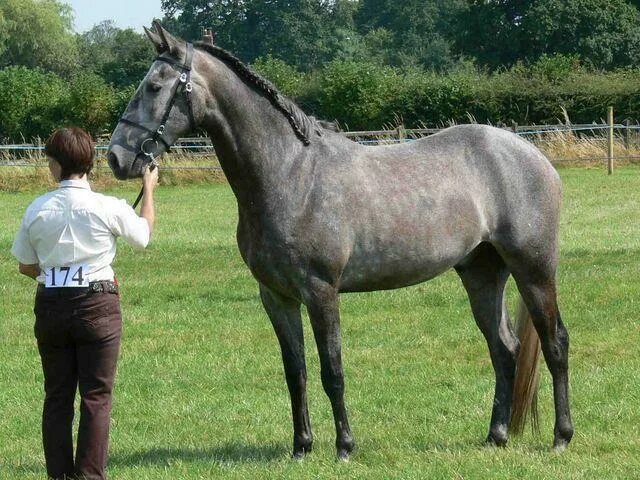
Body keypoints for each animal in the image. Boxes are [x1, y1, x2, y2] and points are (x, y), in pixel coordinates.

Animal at [107, 23, 572, 462]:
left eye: (154, 86)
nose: (116, 157)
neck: (290, 172)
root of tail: (533, 155)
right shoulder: (276, 296)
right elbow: (295, 373)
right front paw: (301, 446)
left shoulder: (321, 292)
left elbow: (332, 371)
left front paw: (345, 446)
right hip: (482, 274)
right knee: (504, 349)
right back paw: (497, 436)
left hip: (533, 271)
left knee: (555, 343)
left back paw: (561, 437)